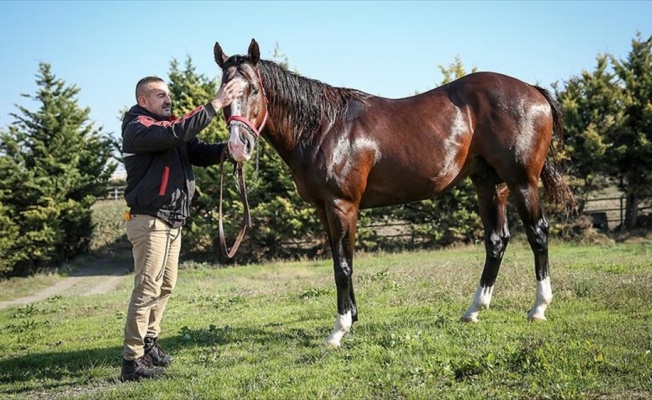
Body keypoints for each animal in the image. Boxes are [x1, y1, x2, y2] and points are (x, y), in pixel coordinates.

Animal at [215, 39, 576, 346]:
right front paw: (352, 317)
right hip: (489, 182)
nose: (237, 146)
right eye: (222, 91)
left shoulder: (342, 205)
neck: (323, 128)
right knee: (496, 240)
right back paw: (474, 310)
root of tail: (534, 91)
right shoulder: (324, 209)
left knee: (538, 233)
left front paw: (338, 329)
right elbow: (340, 260)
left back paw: (538, 307)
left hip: (522, 180)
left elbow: (342, 266)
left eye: (253, 89)